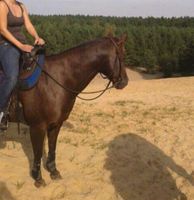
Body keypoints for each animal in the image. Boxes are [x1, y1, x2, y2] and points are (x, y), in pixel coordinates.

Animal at [16, 34, 129, 188]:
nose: (125, 82)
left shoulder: (56, 124)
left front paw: (53, 171)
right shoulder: (37, 126)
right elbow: (38, 152)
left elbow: (52, 148)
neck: (55, 81)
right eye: (121, 56)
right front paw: (38, 178)